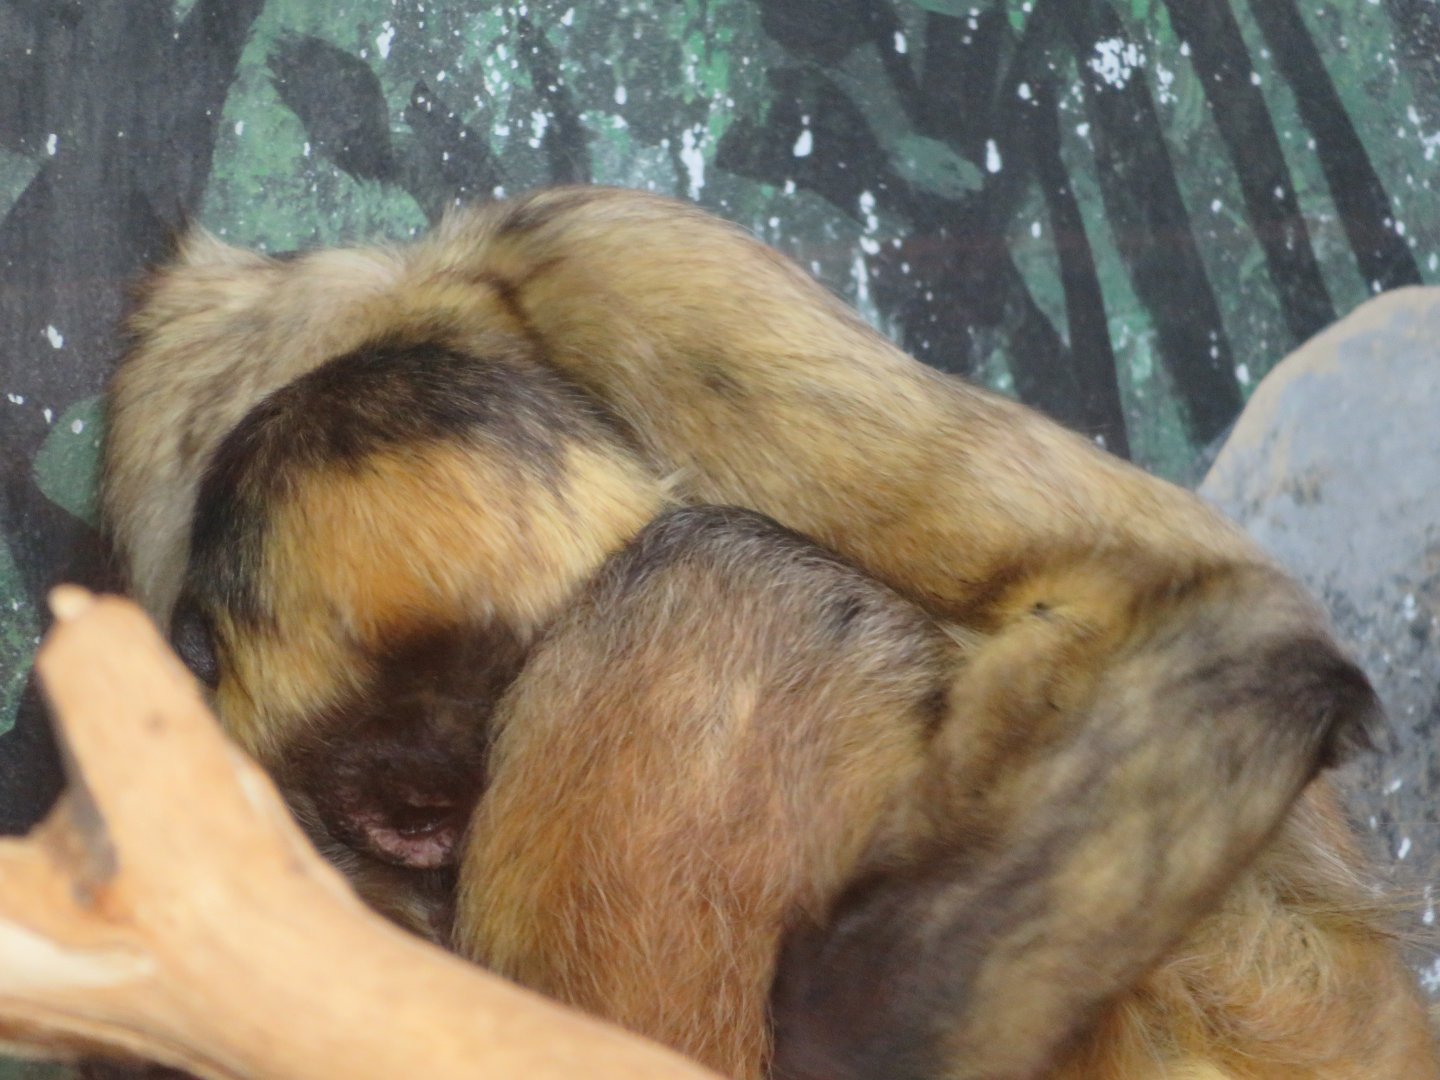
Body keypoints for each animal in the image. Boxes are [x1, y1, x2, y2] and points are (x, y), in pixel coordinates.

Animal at [101, 186, 1440, 1078]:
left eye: (454, 813)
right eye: (410, 819)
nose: (447, 866)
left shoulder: (629, 263)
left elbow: (1203, 601)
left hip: (1249, 993)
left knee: (727, 585)